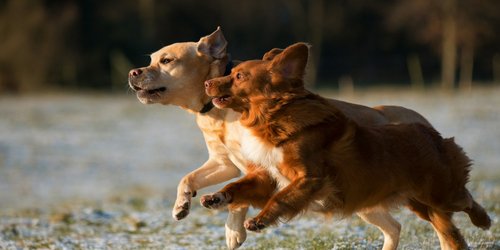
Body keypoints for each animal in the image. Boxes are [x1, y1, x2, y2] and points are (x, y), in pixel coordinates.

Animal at [201, 42, 490, 249]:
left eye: (239, 76)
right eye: (230, 73)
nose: (206, 83)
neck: (273, 118)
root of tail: (431, 133)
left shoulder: (310, 178)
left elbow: (281, 199)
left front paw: (260, 220)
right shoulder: (269, 176)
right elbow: (239, 186)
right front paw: (216, 197)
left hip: (439, 194)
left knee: (467, 199)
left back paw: (484, 220)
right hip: (420, 202)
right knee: (450, 231)